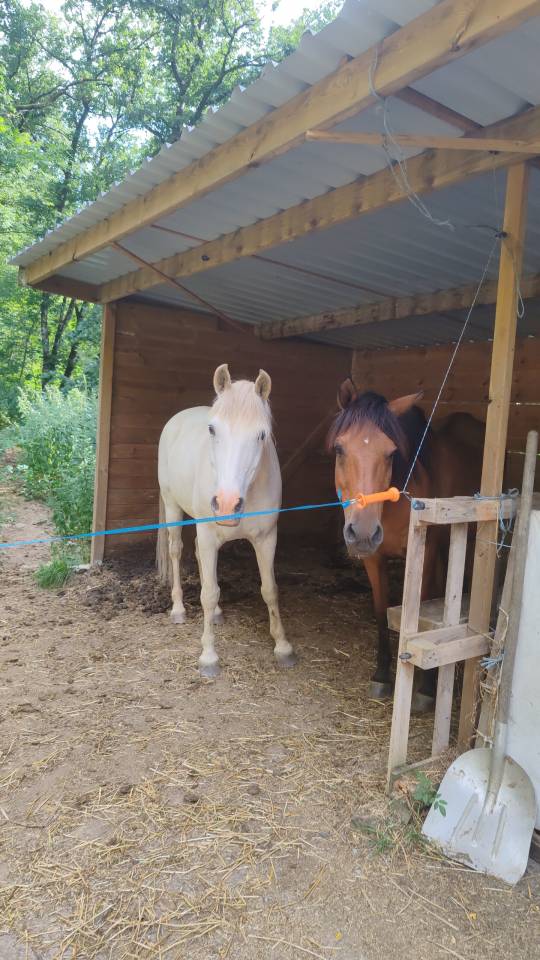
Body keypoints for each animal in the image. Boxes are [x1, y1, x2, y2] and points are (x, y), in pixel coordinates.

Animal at [157, 363, 296, 677]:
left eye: (261, 435)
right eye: (212, 429)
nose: (227, 504)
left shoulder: (267, 538)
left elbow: (270, 590)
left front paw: (283, 646)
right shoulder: (209, 534)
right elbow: (208, 593)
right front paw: (209, 657)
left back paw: (218, 614)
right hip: (172, 507)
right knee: (176, 551)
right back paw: (178, 609)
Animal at [328, 379, 484, 711]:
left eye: (390, 453)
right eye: (339, 448)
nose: (362, 532)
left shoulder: (423, 556)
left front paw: (425, 688)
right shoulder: (374, 559)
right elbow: (380, 612)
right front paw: (382, 676)